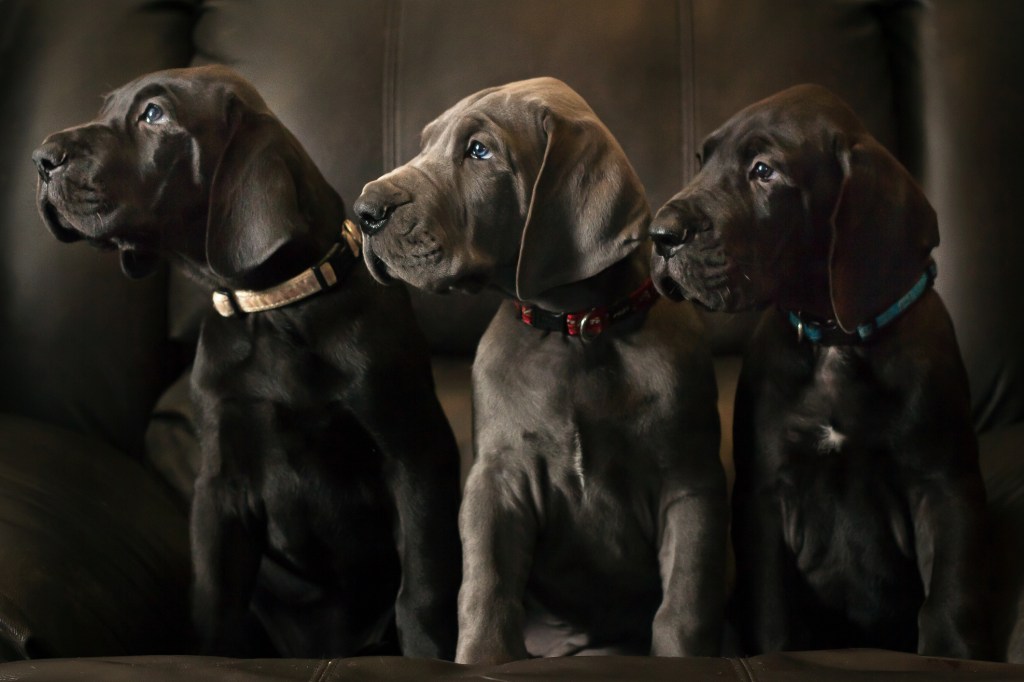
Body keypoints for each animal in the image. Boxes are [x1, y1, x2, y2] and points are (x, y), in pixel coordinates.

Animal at [33, 63, 460, 659]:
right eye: (106, 107)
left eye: (154, 115)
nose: (42, 157)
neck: (275, 309)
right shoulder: (221, 484)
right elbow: (215, 603)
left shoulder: (415, 455)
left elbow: (421, 592)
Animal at [356, 76, 724, 659]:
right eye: (426, 143)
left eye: (479, 151)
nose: (364, 210)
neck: (579, 331)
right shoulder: (497, 478)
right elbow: (485, 588)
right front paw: (481, 657)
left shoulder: (689, 485)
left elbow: (684, 606)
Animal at [647, 82, 991, 655]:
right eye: (702, 159)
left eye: (764, 170)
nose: (660, 234)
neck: (835, 341)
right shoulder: (765, 496)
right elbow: (771, 615)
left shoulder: (945, 487)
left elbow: (948, 602)